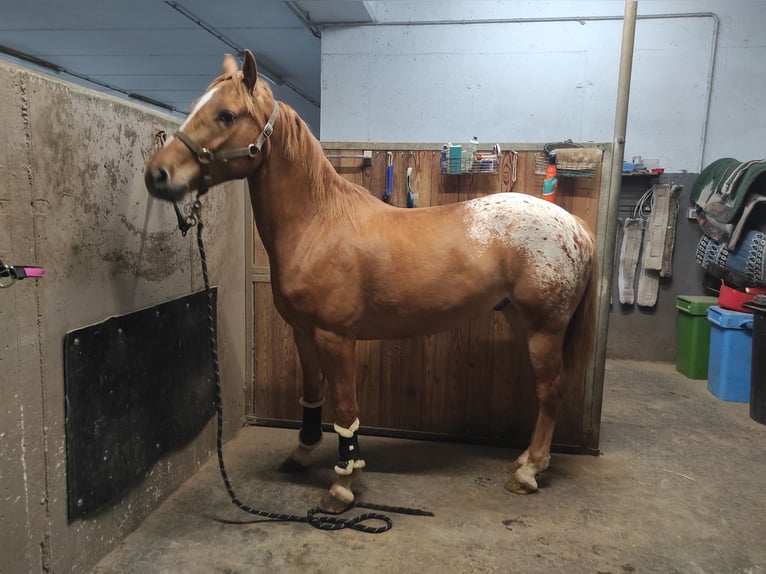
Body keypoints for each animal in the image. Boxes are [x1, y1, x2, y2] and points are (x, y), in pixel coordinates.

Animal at [144, 50, 600, 516]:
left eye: (226, 114)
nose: (157, 174)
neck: (318, 223)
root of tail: (575, 225)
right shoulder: (303, 333)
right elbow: (313, 394)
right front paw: (302, 452)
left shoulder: (336, 338)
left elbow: (346, 409)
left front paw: (343, 485)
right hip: (519, 320)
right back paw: (524, 460)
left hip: (544, 328)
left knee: (550, 391)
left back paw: (529, 472)